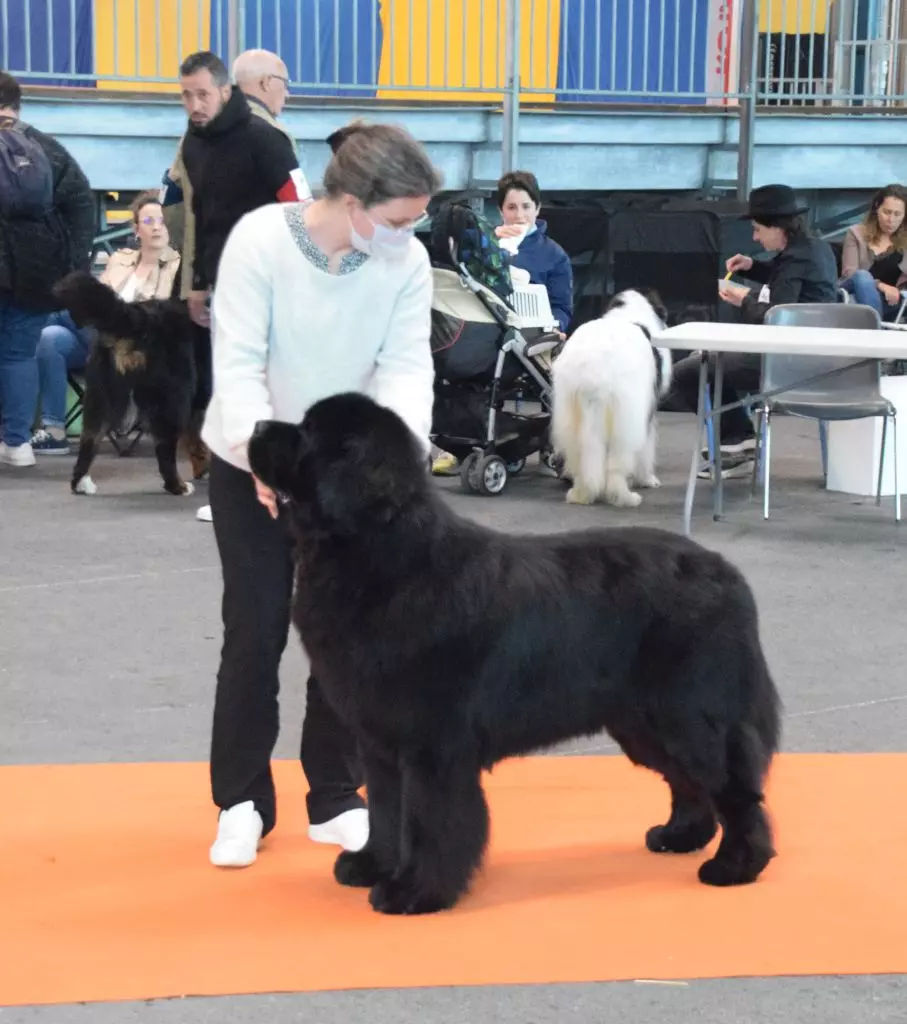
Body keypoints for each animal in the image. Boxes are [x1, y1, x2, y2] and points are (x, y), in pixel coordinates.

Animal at [53, 270, 210, 497]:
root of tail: (139, 317)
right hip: (174, 397)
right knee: (165, 449)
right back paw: (178, 486)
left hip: (100, 396)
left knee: (89, 440)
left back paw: (81, 483)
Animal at [246, 395, 782, 917]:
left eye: (308, 432)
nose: (255, 426)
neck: (379, 556)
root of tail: (729, 574)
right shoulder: (380, 741)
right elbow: (384, 809)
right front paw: (372, 865)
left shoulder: (432, 745)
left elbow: (429, 820)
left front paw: (415, 891)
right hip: (643, 723)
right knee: (688, 781)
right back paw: (680, 836)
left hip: (692, 714)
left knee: (735, 789)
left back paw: (736, 865)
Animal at [552, 290, 675, 505]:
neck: (630, 313)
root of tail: (591, 370)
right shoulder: (646, 411)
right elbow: (646, 449)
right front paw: (647, 479)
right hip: (625, 417)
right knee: (617, 464)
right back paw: (624, 496)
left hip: (570, 414)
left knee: (579, 458)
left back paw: (580, 494)